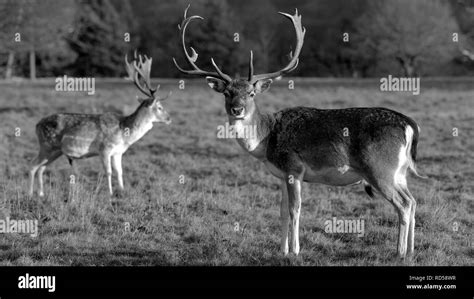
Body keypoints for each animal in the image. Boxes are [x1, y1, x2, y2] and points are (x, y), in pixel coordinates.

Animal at [28, 51, 171, 198]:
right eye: (159, 107)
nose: (169, 118)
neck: (124, 134)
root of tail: (36, 125)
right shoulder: (105, 149)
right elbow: (108, 172)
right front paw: (110, 193)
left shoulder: (118, 152)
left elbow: (119, 172)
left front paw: (122, 191)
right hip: (46, 146)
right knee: (32, 165)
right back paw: (30, 194)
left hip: (56, 151)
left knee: (41, 168)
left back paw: (41, 194)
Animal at [175, 5, 426, 258]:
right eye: (227, 93)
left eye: (251, 93)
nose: (237, 109)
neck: (265, 141)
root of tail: (409, 124)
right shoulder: (281, 173)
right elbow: (282, 211)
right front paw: (282, 250)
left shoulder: (294, 167)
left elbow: (295, 210)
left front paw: (295, 250)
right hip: (399, 172)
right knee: (413, 201)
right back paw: (411, 251)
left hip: (379, 168)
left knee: (403, 204)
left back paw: (399, 252)